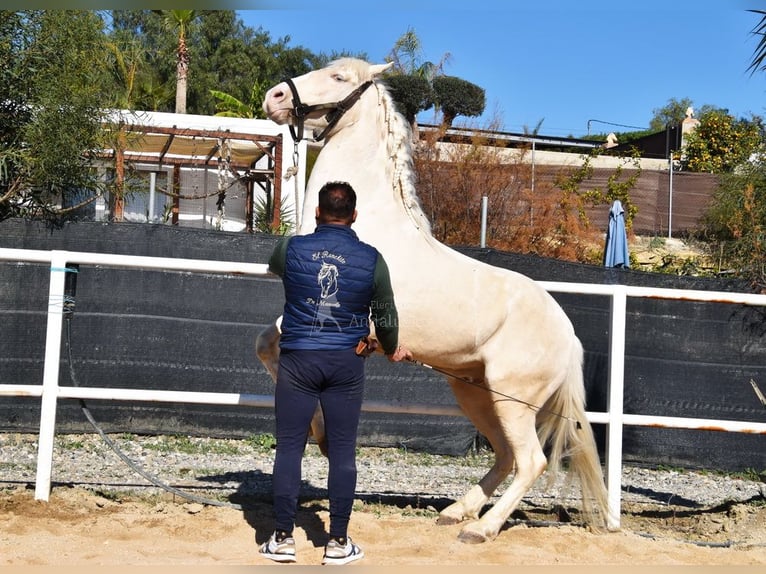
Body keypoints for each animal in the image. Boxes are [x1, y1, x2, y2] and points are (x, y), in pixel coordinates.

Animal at [258, 58, 612, 544]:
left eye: (338, 78)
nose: (273, 97)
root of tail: (569, 335)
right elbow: (266, 345)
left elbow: (275, 347)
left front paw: (322, 434)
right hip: (474, 392)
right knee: (505, 455)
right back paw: (456, 512)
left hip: (512, 400)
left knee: (530, 461)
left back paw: (481, 529)